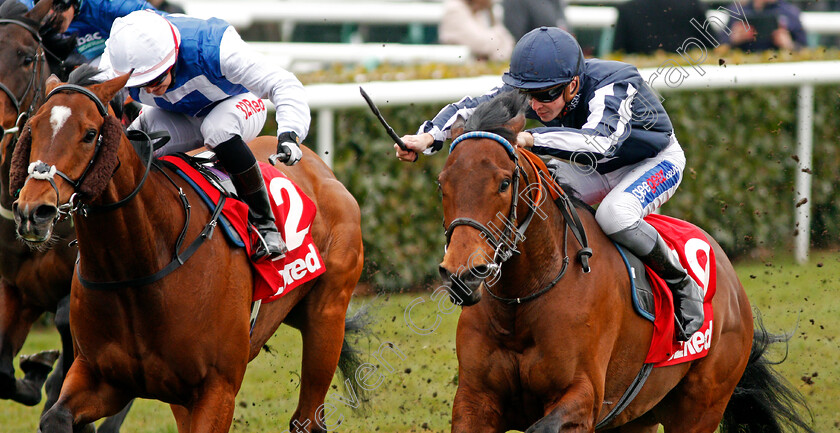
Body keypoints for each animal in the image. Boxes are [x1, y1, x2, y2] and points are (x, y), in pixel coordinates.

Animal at [9, 71, 364, 432]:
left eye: (89, 134)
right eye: (32, 128)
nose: (33, 211)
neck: (137, 266)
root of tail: (322, 170)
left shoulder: (217, 389)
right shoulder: (104, 377)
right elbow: (56, 416)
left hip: (327, 314)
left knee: (307, 418)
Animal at [436, 93, 812, 430]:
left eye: (503, 183)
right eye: (442, 184)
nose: (463, 275)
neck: (521, 301)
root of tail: (732, 281)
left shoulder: (583, 398)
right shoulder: (475, 400)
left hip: (702, 404)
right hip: (637, 416)